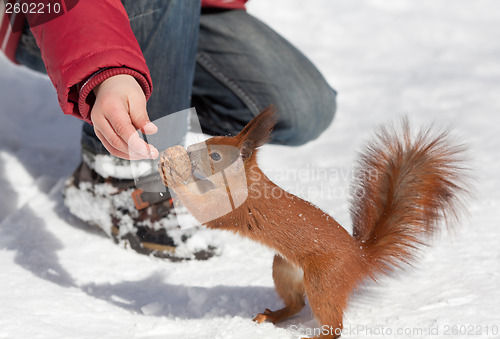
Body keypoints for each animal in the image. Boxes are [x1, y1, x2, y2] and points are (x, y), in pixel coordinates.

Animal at [159, 107, 468, 339]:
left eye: (215, 155)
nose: (189, 151)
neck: (245, 180)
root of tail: (360, 258)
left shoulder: (234, 206)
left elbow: (206, 209)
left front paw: (173, 175)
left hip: (323, 279)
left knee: (334, 324)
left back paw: (317, 336)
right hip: (284, 267)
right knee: (296, 304)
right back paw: (272, 316)